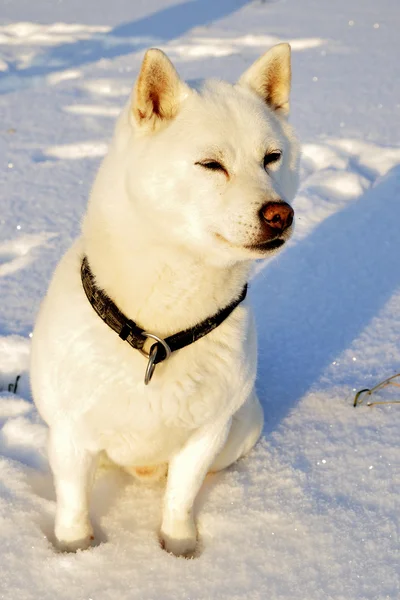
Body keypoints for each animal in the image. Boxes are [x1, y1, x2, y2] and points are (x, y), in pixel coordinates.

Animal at [30, 44, 300, 556]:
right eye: (211, 164)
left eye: (272, 158)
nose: (281, 214)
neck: (159, 333)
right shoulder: (71, 435)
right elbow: (73, 505)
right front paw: (76, 554)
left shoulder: (206, 435)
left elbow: (180, 497)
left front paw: (178, 550)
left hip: (242, 428)